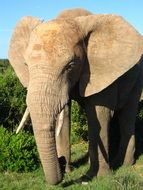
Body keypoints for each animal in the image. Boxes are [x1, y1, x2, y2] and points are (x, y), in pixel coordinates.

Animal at [8, 8, 143, 184]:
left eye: (70, 66)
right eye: (26, 65)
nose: (61, 162)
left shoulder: (100, 71)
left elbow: (99, 115)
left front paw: (97, 177)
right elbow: (64, 115)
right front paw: (69, 171)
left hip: (137, 80)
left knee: (127, 116)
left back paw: (123, 164)